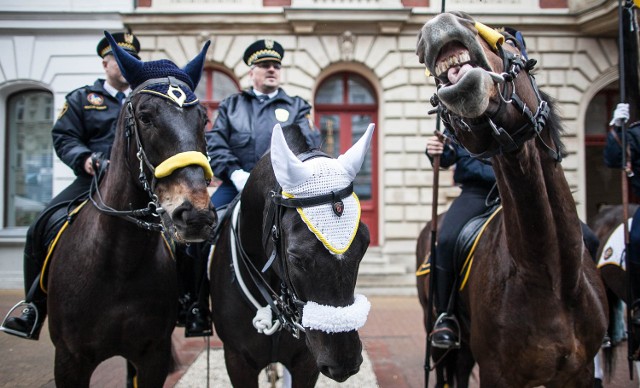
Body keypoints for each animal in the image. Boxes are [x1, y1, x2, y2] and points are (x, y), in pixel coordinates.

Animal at [44, 34, 218, 388]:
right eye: (145, 116)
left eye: (203, 119)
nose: (195, 215)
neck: (120, 261)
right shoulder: (69, 360)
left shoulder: (152, 356)